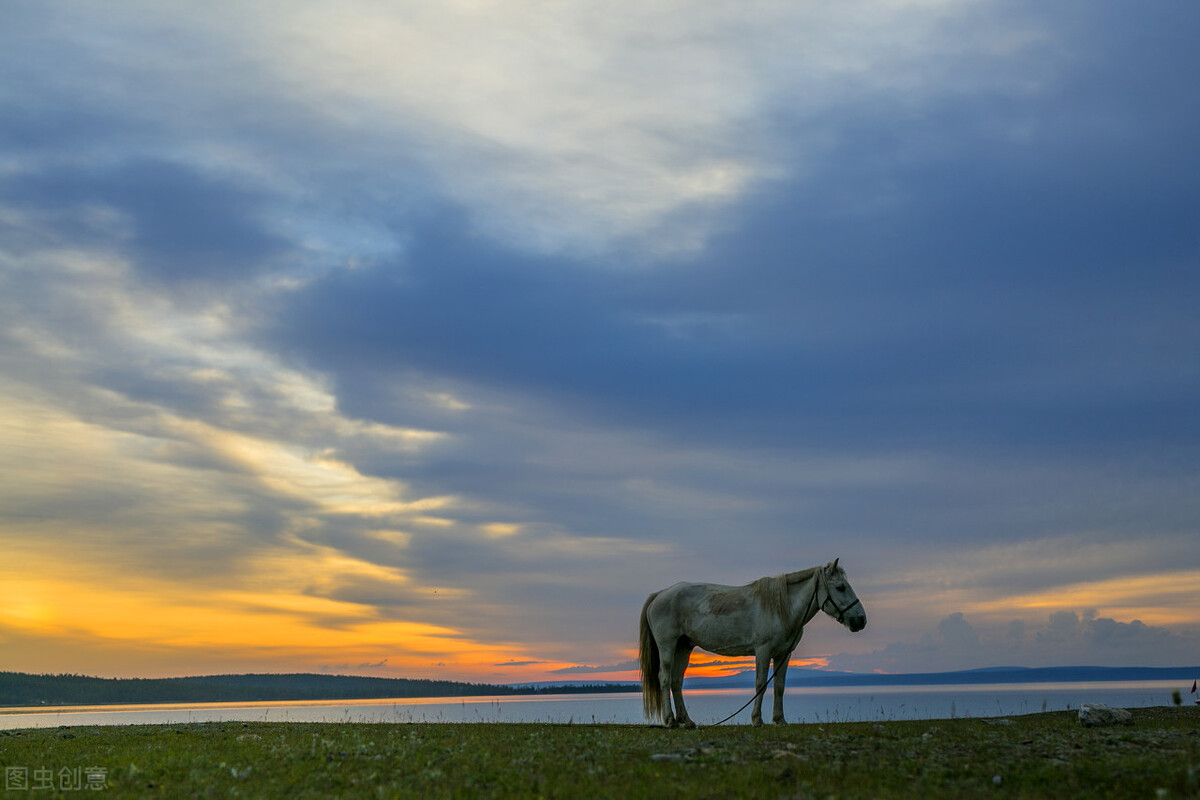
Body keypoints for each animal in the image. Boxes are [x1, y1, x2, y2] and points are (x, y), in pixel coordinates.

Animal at [643, 561, 868, 729]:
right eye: (840, 587)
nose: (860, 620)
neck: (781, 608)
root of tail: (660, 594)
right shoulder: (763, 651)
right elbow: (760, 684)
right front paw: (757, 720)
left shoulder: (783, 655)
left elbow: (779, 686)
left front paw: (779, 720)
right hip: (668, 646)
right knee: (665, 678)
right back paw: (670, 721)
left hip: (683, 647)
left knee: (676, 681)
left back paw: (687, 721)